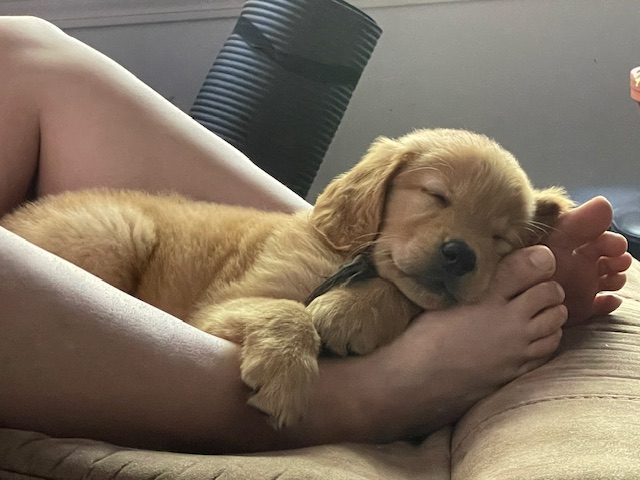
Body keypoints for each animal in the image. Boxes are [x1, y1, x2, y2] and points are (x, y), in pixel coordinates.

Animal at [0, 127, 568, 428]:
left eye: (501, 238)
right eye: (436, 196)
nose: (461, 256)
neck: (343, 262)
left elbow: (399, 290)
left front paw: (353, 313)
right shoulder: (223, 307)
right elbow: (288, 310)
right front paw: (287, 372)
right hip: (117, 234)